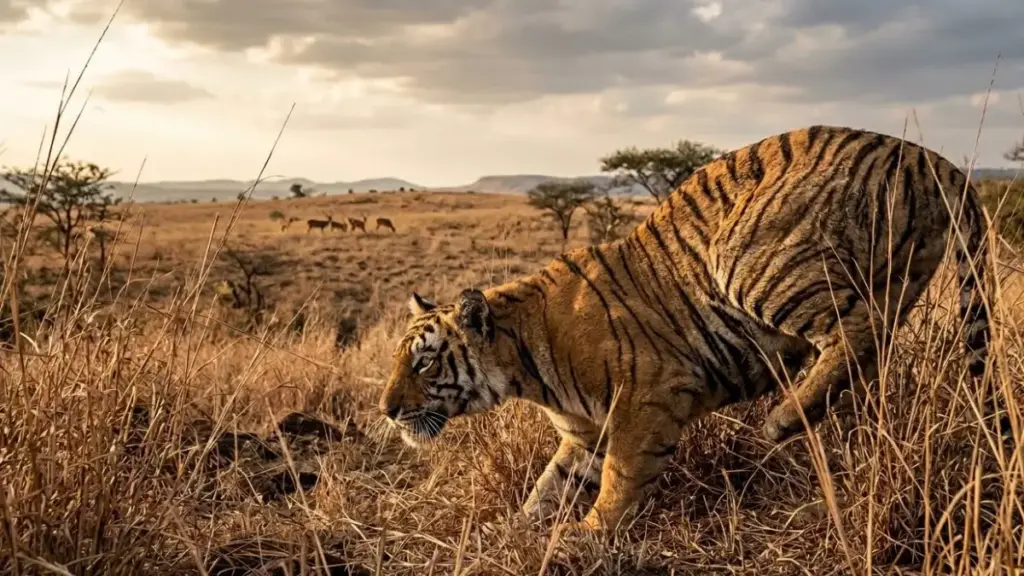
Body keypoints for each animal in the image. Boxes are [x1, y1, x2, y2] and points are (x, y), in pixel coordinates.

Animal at [378, 124, 994, 533]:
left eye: (424, 362)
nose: (385, 410)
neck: (521, 367)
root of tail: (920, 153)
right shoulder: (584, 434)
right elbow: (547, 489)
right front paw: (517, 534)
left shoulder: (643, 402)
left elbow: (619, 482)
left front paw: (587, 540)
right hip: (900, 274)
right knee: (876, 335)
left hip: (756, 262)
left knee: (859, 333)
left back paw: (785, 417)